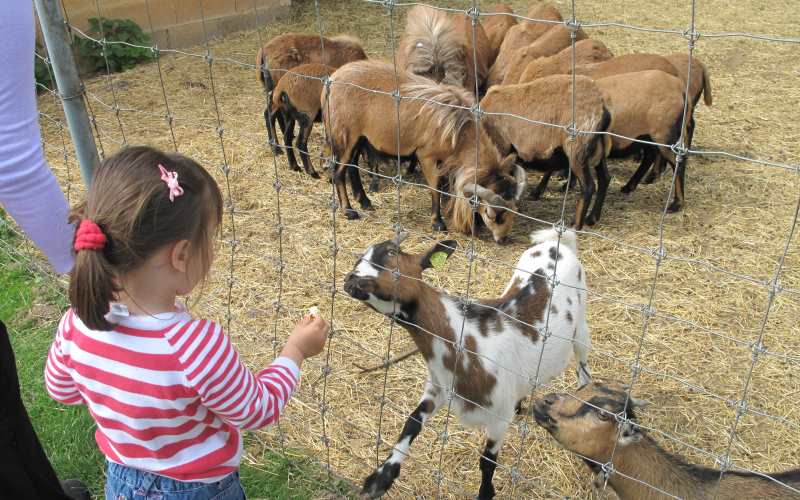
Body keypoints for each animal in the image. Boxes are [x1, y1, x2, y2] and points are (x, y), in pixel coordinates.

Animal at [322, 60, 528, 242]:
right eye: (493, 215)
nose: (503, 239)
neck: (459, 129)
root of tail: (332, 81)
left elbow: (444, 187)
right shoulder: (426, 155)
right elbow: (435, 186)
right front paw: (438, 223)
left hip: (359, 138)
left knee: (352, 167)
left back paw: (365, 201)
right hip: (346, 134)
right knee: (338, 173)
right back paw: (349, 211)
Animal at [346, 229, 592, 498]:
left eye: (391, 252)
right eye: (359, 258)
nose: (350, 280)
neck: (466, 340)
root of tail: (558, 242)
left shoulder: (498, 418)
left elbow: (487, 461)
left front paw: (485, 493)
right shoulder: (438, 388)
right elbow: (412, 422)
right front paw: (380, 479)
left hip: (580, 326)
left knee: (584, 371)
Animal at [482, 73, 612, 229]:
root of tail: (601, 107)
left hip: (577, 150)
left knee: (589, 186)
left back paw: (576, 225)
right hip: (597, 149)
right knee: (605, 179)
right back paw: (592, 218)